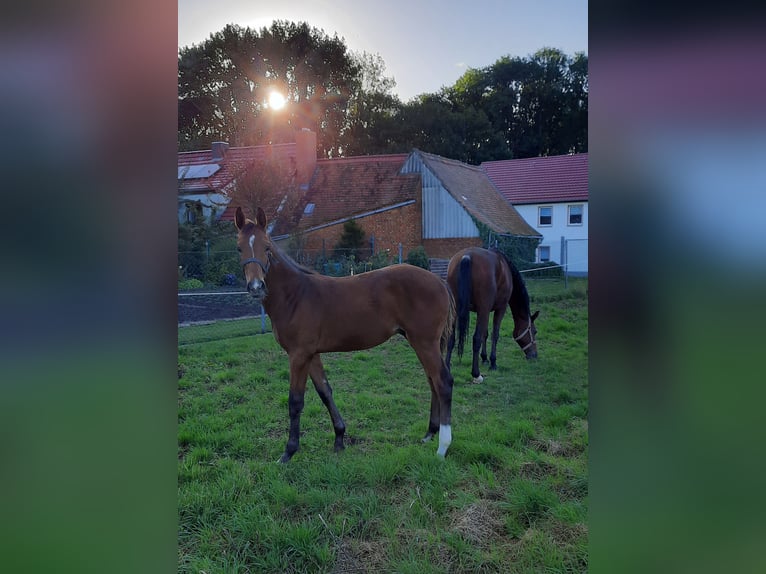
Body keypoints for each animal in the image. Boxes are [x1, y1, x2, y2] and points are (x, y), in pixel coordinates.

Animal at [237, 207, 460, 464]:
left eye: (266, 247)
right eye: (239, 248)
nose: (256, 287)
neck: (295, 295)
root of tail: (440, 282)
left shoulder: (298, 355)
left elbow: (295, 401)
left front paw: (288, 451)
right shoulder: (312, 355)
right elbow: (325, 392)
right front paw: (339, 439)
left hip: (424, 342)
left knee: (443, 382)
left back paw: (443, 447)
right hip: (424, 343)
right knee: (433, 380)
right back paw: (429, 433)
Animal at [444, 246, 540, 384]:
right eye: (534, 331)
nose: (534, 356)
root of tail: (467, 256)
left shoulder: (485, 311)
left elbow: (485, 334)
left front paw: (484, 358)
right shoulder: (499, 309)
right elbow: (494, 335)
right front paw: (493, 362)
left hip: (456, 309)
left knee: (451, 339)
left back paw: (447, 367)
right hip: (483, 310)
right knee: (476, 339)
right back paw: (476, 374)